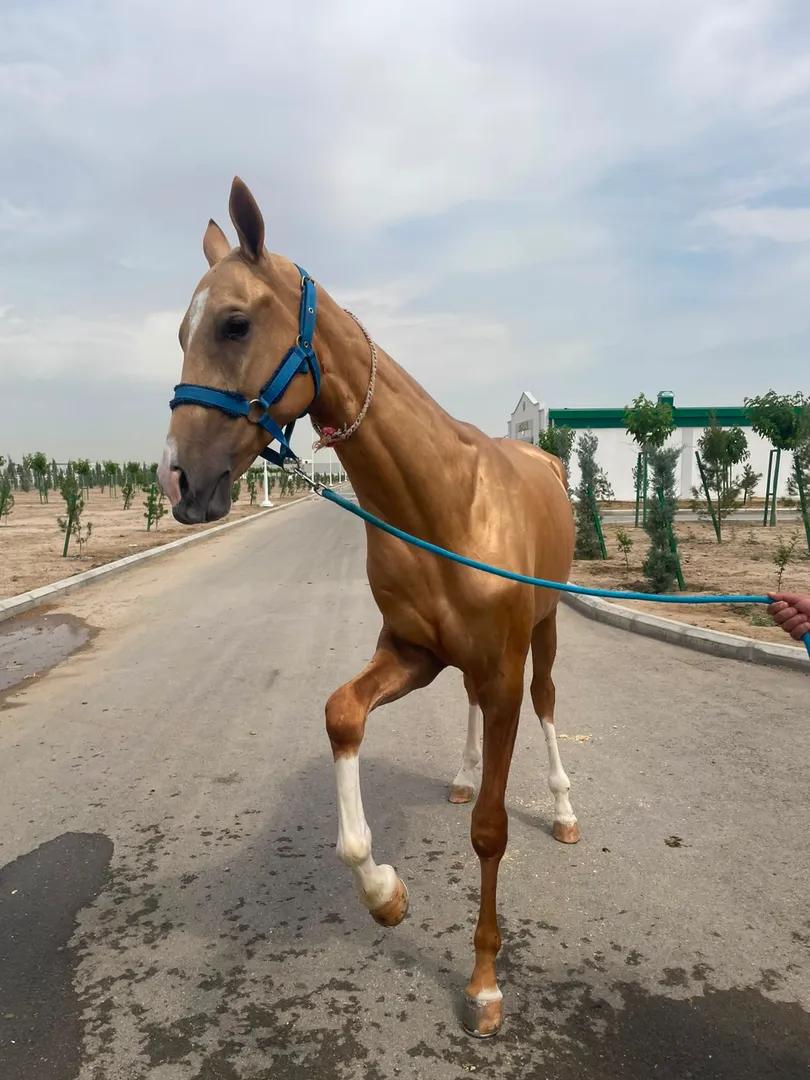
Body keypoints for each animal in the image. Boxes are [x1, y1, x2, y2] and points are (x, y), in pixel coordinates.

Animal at [158, 177, 578, 1038]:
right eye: (182, 329)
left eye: (234, 322)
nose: (177, 480)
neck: (446, 502)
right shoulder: (412, 654)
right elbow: (342, 715)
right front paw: (384, 894)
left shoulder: (503, 667)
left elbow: (491, 830)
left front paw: (485, 983)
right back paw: (461, 774)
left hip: (546, 630)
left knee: (550, 702)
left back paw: (562, 808)